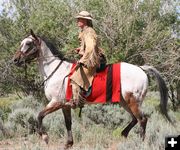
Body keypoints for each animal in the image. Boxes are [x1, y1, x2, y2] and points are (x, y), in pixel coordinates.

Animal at [13, 30, 172, 149]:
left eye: (28, 43)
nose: (15, 60)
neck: (55, 71)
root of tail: (141, 69)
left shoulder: (56, 102)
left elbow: (39, 115)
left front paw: (45, 137)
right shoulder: (65, 105)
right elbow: (68, 123)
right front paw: (68, 144)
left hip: (132, 101)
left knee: (142, 120)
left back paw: (139, 143)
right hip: (124, 102)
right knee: (135, 119)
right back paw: (123, 135)